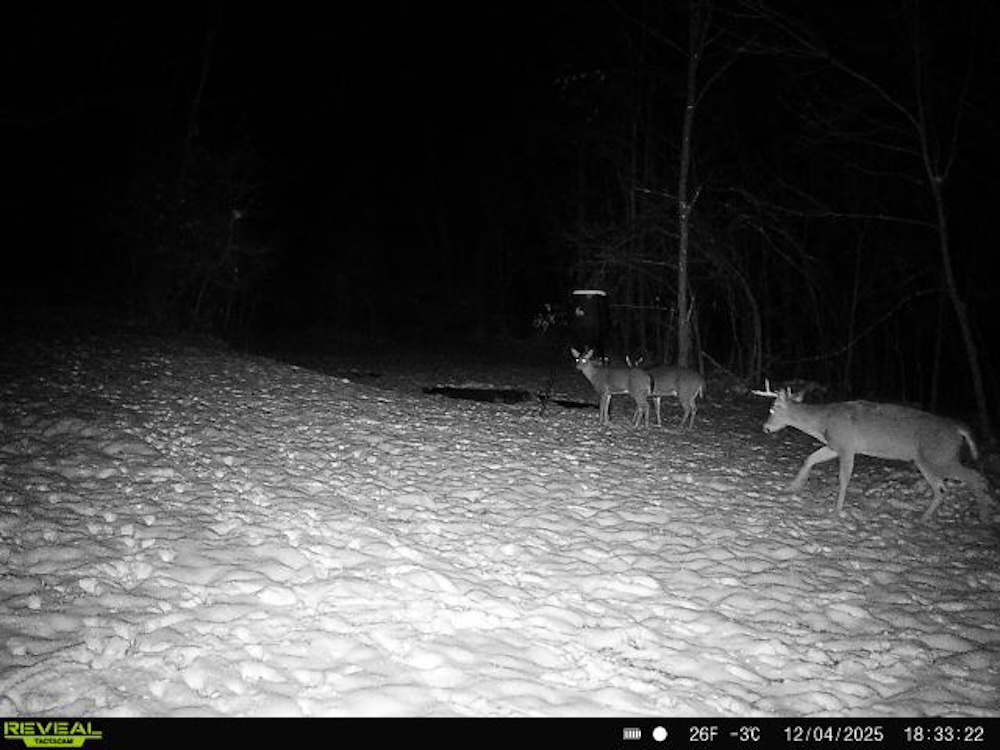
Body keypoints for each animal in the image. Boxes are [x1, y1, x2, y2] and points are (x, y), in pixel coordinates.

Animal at [752, 381, 994, 523]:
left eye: (772, 409)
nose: (765, 428)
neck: (823, 422)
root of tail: (958, 429)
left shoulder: (847, 445)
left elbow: (844, 478)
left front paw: (837, 510)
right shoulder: (834, 445)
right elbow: (810, 458)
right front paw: (792, 487)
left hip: (939, 456)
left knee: (975, 477)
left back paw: (984, 517)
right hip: (925, 460)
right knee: (941, 488)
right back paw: (923, 518)